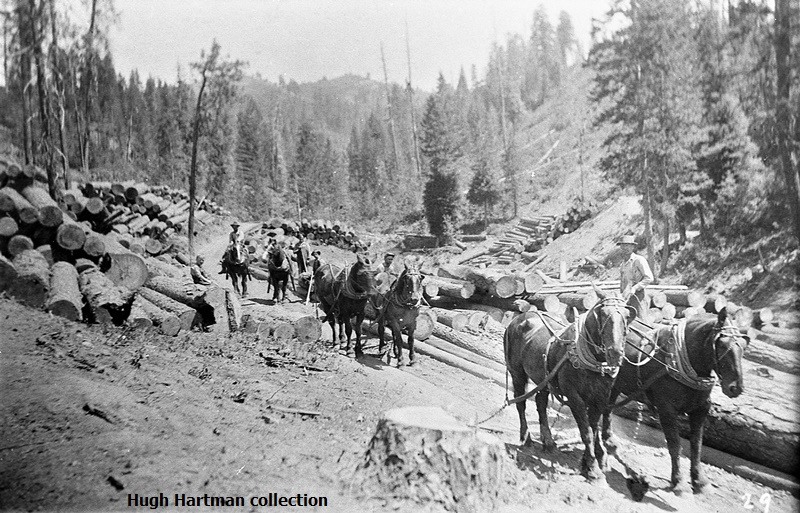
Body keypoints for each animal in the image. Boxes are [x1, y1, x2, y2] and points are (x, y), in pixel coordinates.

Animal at [504, 292, 636, 480]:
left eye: (626, 315)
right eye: (603, 314)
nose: (615, 353)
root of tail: (518, 318)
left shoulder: (600, 398)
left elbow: (593, 428)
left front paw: (591, 461)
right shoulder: (574, 396)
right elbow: (586, 432)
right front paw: (592, 468)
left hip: (544, 379)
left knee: (541, 403)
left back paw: (548, 441)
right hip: (517, 373)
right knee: (520, 403)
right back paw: (526, 438)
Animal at [604, 306, 748, 494]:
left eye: (744, 346)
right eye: (722, 344)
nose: (736, 387)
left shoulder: (701, 410)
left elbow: (696, 445)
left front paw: (700, 480)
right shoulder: (667, 410)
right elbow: (674, 444)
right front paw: (679, 482)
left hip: (615, 385)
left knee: (606, 410)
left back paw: (609, 442)